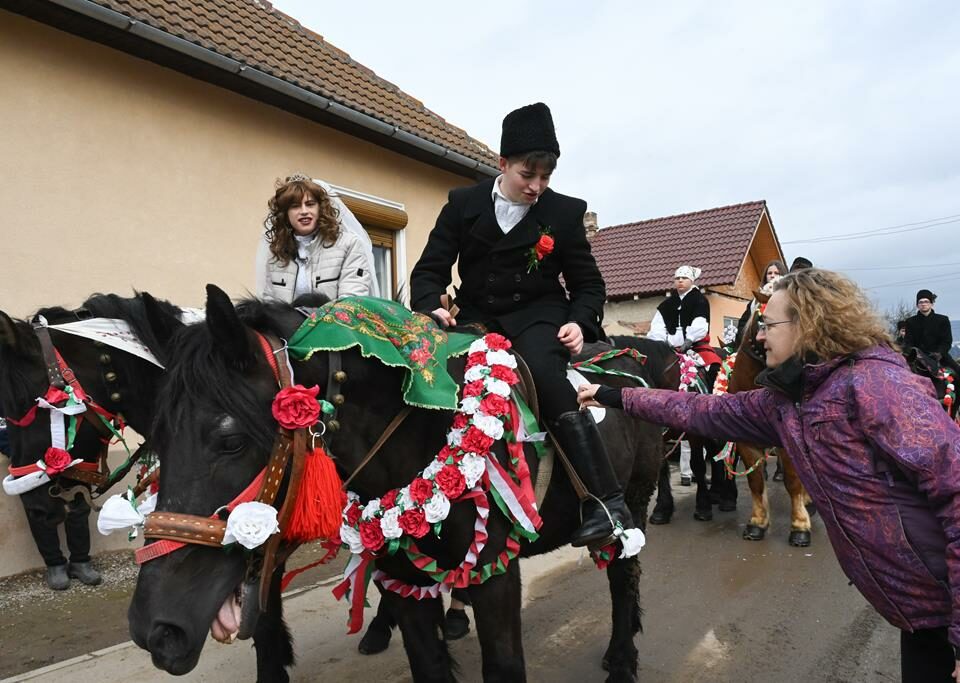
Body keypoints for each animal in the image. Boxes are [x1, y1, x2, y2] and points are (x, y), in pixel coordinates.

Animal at [129, 288, 668, 683]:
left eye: (231, 440)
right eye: (156, 437)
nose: (157, 630)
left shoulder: (494, 575)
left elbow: (504, 666)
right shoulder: (406, 582)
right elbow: (428, 665)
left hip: (633, 501)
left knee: (625, 578)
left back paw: (622, 661)